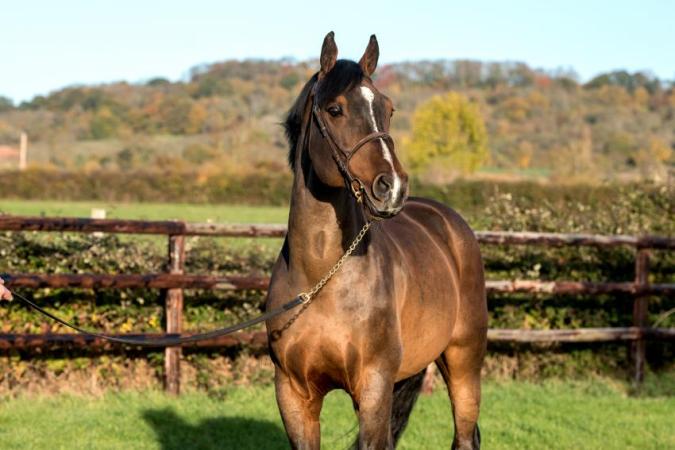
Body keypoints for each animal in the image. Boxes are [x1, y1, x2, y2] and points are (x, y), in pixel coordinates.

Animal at [265, 32, 487, 450]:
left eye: (388, 108)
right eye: (334, 109)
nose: (393, 187)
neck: (322, 279)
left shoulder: (373, 387)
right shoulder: (294, 395)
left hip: (464, 362)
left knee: (465, 434)